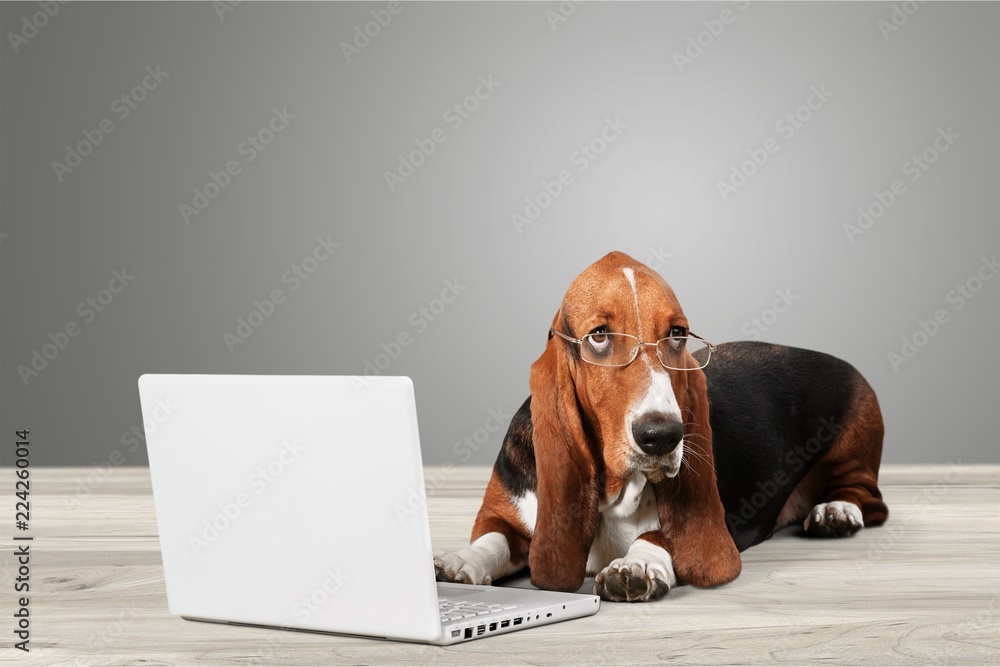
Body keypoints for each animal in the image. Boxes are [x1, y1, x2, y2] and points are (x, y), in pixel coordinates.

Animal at [434, 252, 888, 604]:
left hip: (855, 448)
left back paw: (836, 511)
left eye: (676, 334)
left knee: (868, 497)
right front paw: (459, 561)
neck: (613, 492)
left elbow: (662, 535)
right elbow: (494, 538)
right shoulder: (503, 514)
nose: (663, 436)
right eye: (599, 336)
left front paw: (636, 564)